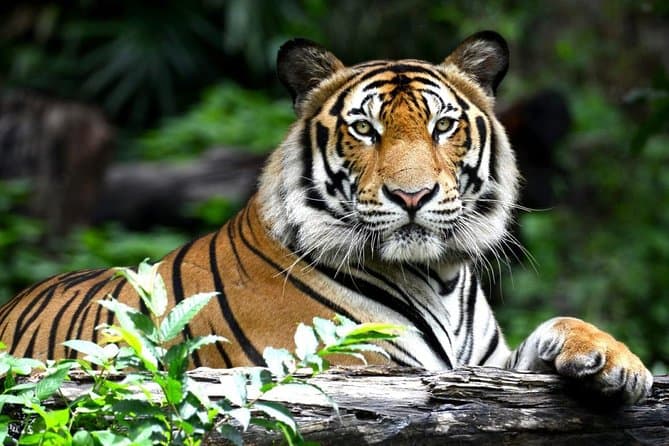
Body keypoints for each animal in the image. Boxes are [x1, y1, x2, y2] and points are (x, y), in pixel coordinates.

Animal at [0, 31, 652, 404]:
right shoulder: (357, 369)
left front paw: (617, 362)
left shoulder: (486, 370)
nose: (411, 196)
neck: (440, 277)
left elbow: (557, 328)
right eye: (365, 128)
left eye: (443, 125)